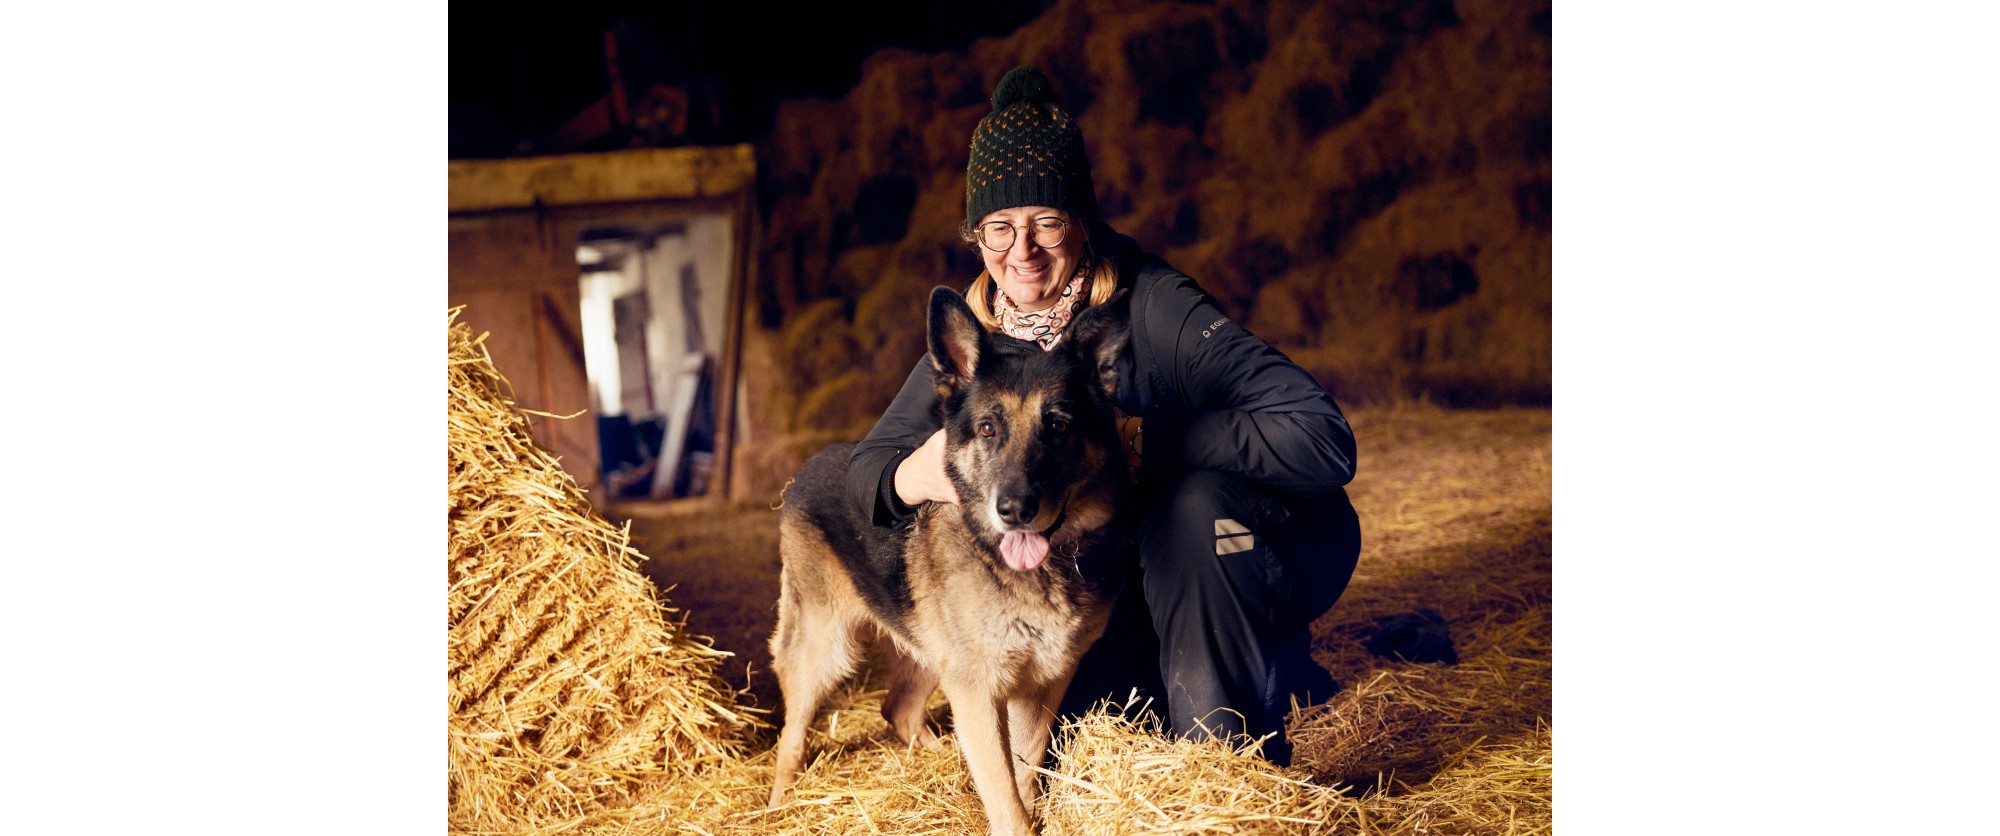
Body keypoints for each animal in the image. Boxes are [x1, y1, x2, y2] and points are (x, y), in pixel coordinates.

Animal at [764, 284, 1136, 832]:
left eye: (1058, 426)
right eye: (987, 428)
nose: (1014, 511)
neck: (1038, 571)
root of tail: (806, 466)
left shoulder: (1041, 684)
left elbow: (1024, 771)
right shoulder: (978, 690)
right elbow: (1003, 791)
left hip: (928, 650)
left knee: (898, 708)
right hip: (822, 648)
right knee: (791, 737)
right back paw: (778, 804)